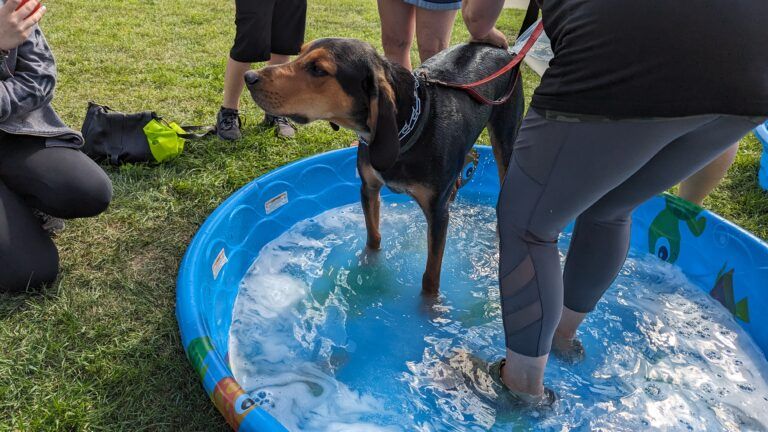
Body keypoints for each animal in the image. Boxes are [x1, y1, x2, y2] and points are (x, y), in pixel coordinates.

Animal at [246, 38, 528, 294]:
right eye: (300, 53)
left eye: (318, 69)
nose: (249, 76)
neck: (412, 126)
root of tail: (505, 51)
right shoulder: (368, 188)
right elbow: (373, 238)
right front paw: (369, 267)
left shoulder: (437, 214)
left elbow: (431, 276)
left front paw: (430, 308)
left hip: (505, 140)